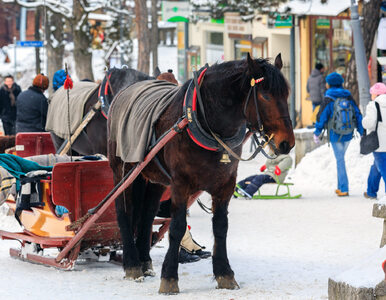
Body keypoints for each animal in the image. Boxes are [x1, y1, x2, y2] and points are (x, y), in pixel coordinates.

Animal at [108, 54, 296, 292]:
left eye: (286, 94)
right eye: (265, 95)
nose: (286, 143)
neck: (205, 122)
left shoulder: (225, 184)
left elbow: (221, 226)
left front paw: (224, 273)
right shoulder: (180, 184)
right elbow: (177, 227)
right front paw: (169, 277)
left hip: (153, 177)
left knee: (147, 215)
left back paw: (144, 261)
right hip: (122, 170)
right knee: (123, 211)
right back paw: (132, 264)